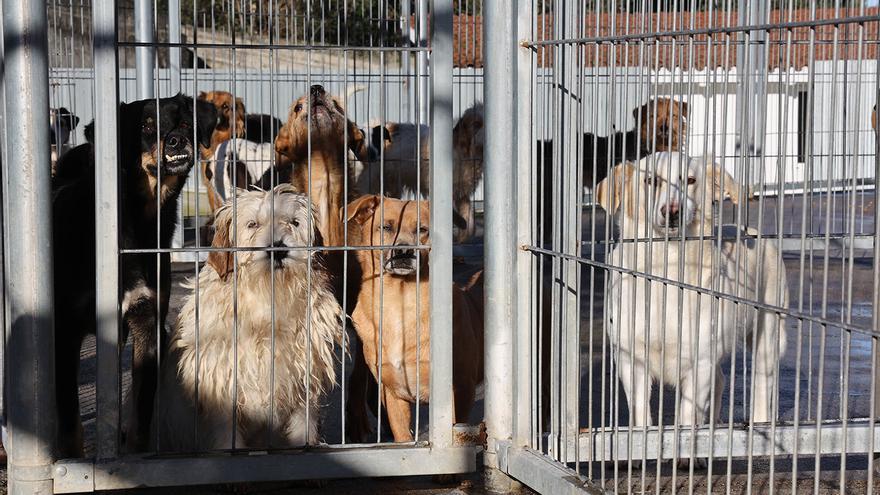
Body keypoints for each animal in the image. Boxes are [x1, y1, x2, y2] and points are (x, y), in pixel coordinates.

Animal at [52, 93, 217, 458]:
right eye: (145, 127)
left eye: (184, 122)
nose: (177, 140)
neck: (135, 223)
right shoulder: (66, 331)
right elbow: (69, 424)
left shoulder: (147, 322)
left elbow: (141, 412)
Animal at [153, 184, 342, 452]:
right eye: (253, 224)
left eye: (294, 223)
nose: (278, 249)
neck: (267, 301)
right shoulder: (222, 388)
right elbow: (226, 438)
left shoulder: (302, 387)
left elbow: (301, 435)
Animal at [600, 151, 792, 430]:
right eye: (651, 180)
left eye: (690, 180)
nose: (673, 211)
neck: (666, 269)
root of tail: (752, 231)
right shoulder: (631, 360)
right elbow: (641, 418)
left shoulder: (700, 363)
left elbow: (687, 419)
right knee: (721, 379)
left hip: (767, 334)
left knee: (761, 385)